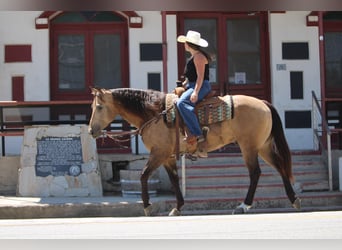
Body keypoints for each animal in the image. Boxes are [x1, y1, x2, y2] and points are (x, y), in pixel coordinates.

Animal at [89, 87, 302, 216]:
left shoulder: (158, 153)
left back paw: (244, 205)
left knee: (255, 173)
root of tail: (264, 103)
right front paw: (177, 207)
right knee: (281, 167)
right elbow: (174, 180)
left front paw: (148, 206)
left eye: (99, 107)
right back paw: (294, 200)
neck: (155, 113)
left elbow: (143, 175)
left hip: (249, 147)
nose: (91, 131)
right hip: (263, 146)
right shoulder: (167, 157)